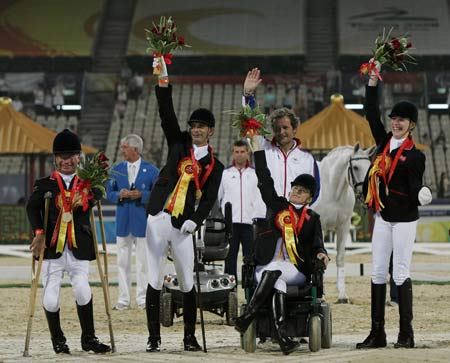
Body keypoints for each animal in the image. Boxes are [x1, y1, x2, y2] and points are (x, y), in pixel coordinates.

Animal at [312, 144, 374, 302]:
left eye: (369, 167)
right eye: (356, 167)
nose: (366, 194)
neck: (332, 190)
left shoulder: (343, 227)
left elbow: (340, 257)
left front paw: (342, 295)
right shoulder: (321, 227)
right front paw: (321, 296)